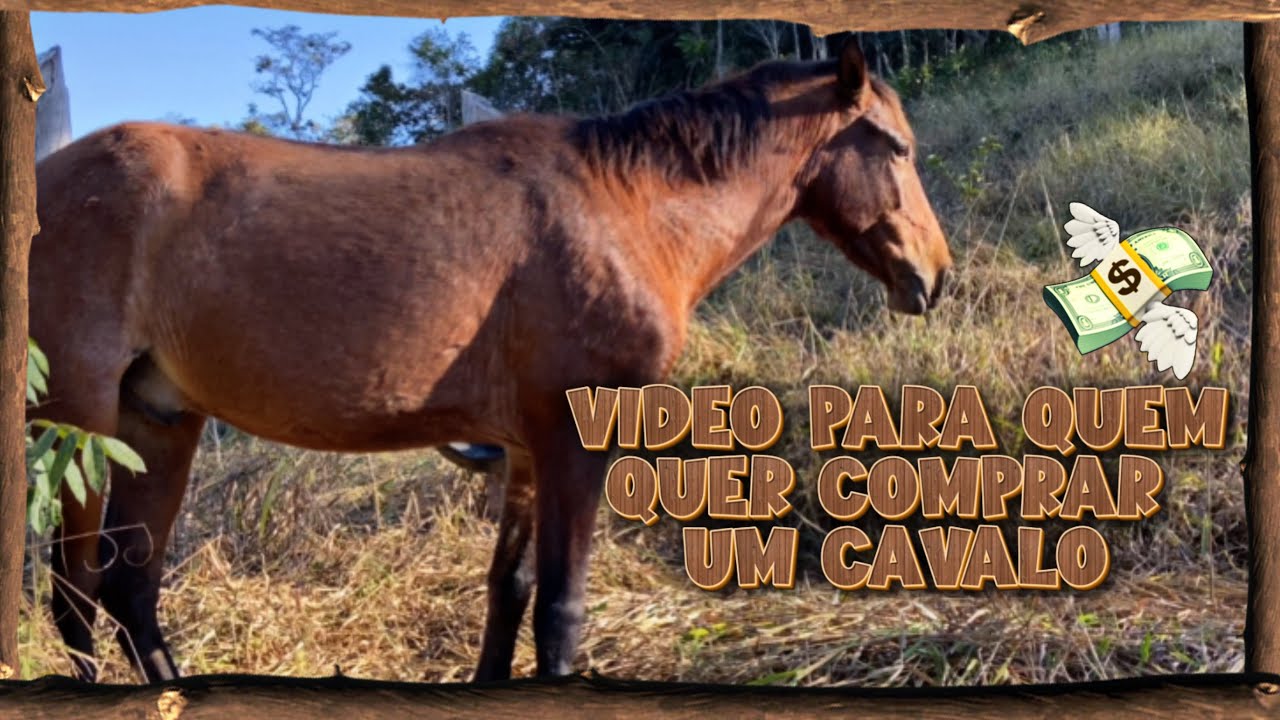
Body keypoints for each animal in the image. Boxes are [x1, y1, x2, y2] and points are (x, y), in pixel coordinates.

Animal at [30, 40, 951, 684]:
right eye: (899, 149)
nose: (934, 278)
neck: (625, 210)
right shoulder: (573, 443)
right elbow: (561, 609)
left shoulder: (522, 451)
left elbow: (507, 596)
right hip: (79, 425)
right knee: (75, 595)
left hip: (158, 424)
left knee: (129, 592)